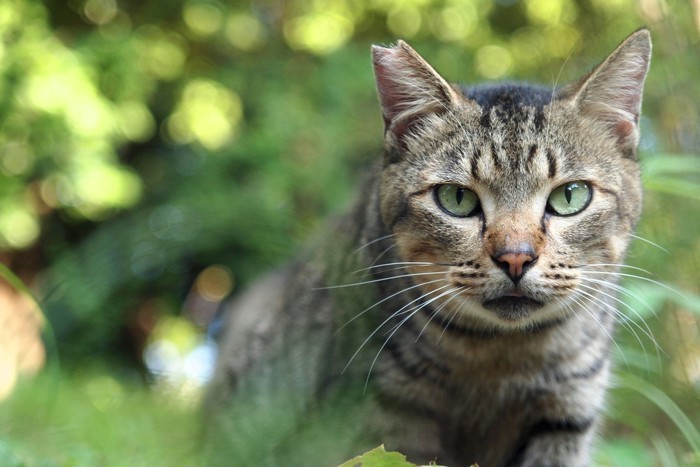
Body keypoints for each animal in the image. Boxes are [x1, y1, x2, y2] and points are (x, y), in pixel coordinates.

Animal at [205, 30, 652, 467]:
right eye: (456, 198)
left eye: (570, 196)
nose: (516, 257)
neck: (500, 358)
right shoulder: (388, 418)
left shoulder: (565, 421)